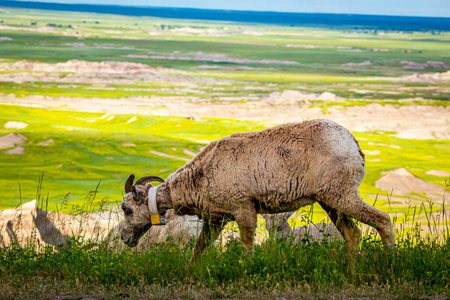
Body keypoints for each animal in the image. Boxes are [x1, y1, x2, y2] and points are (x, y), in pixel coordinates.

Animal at [120, 119, 398, 260]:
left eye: (126, 209)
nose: (124, 238)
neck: (201, 174)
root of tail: (353, 143)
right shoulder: (216, 220)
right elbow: (198, 250)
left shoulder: (244, 210)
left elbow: (247, 249)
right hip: (330, 203)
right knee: (353, 236)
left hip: (341, 197)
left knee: (383, 220)